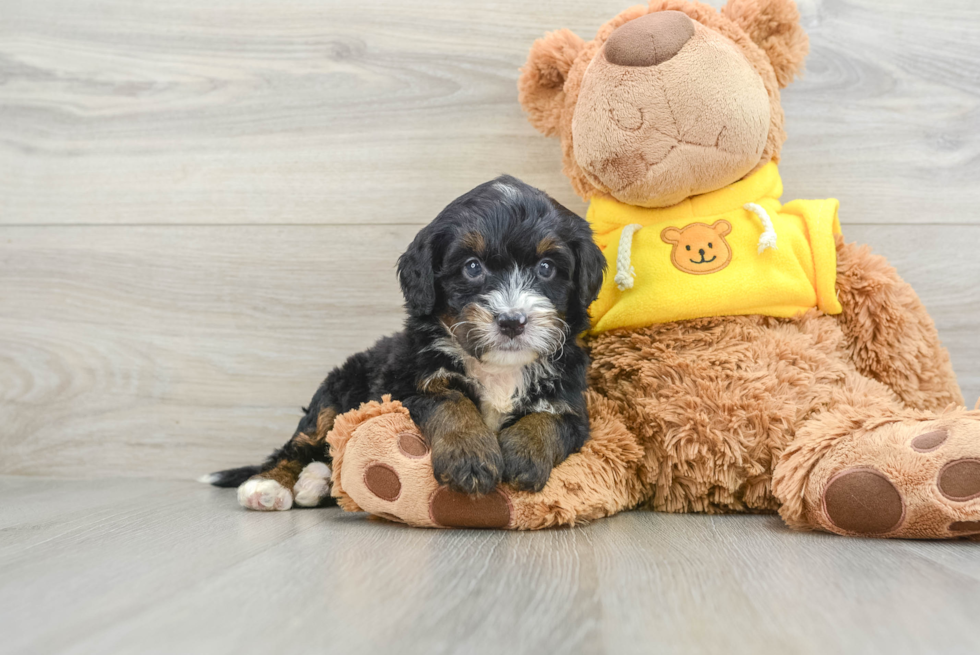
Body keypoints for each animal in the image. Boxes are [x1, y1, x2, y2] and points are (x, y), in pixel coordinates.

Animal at [205, 178, 604, 512]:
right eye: (472, 267)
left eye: (547, 267)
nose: (512, 321)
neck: (498, 369)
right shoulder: (407, 382)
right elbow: (450, 402)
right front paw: (470, 456)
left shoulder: (573, 402)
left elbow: (549, 419)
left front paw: (524, 455)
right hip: (337, 388)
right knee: (301, 441)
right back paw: (269, 485)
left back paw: (316, 482)